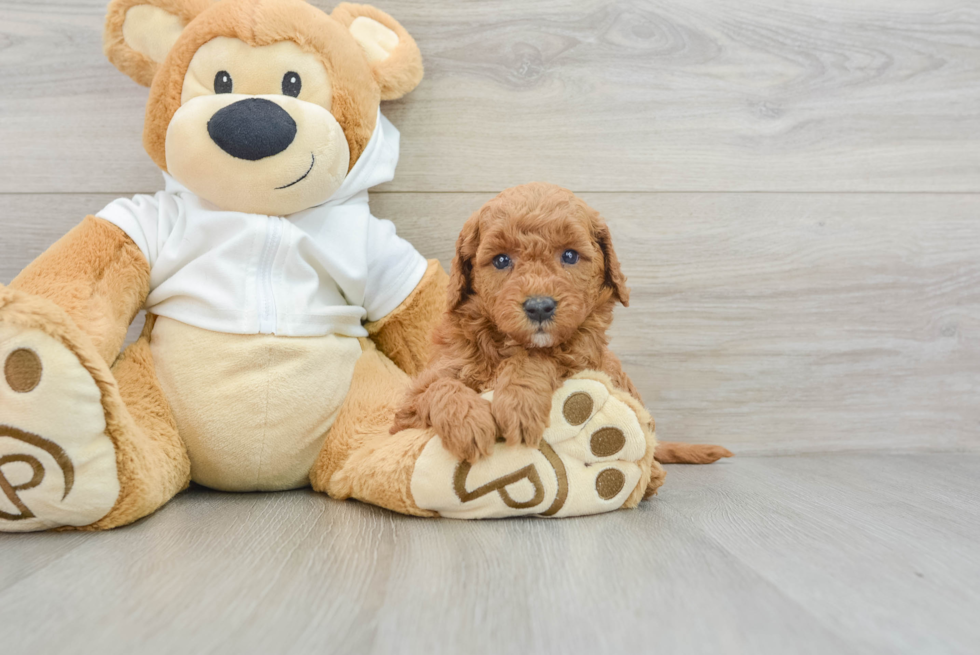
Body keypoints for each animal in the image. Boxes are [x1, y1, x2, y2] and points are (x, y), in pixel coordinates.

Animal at [394, 183, 732, 466]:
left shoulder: (583, 361)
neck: (507, 345)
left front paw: (518, 403)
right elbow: (438, 387)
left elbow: (539, 356)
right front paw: (467, 422)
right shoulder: (405, 413)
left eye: (569, 255)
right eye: (501, 260)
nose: (539, 307)